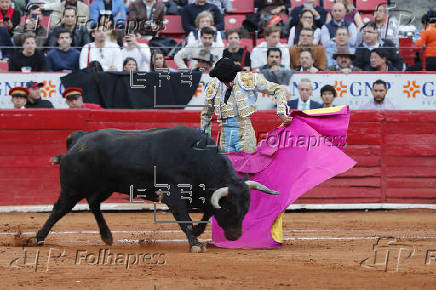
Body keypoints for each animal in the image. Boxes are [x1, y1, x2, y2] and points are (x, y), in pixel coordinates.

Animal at [35, 127, 280, 251]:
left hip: (104, 187)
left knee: (94, 204)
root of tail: (78, 139)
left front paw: (198, 233)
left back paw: (107, 236)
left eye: (245, 209)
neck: (196, 157)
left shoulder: (204, 195)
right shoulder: (174, 195)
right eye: (229, 210)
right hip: (73, 188)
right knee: (60, 209)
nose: (235, 236)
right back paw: (39, 238)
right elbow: (185, 218)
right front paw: (195, 244)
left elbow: (207, 212)